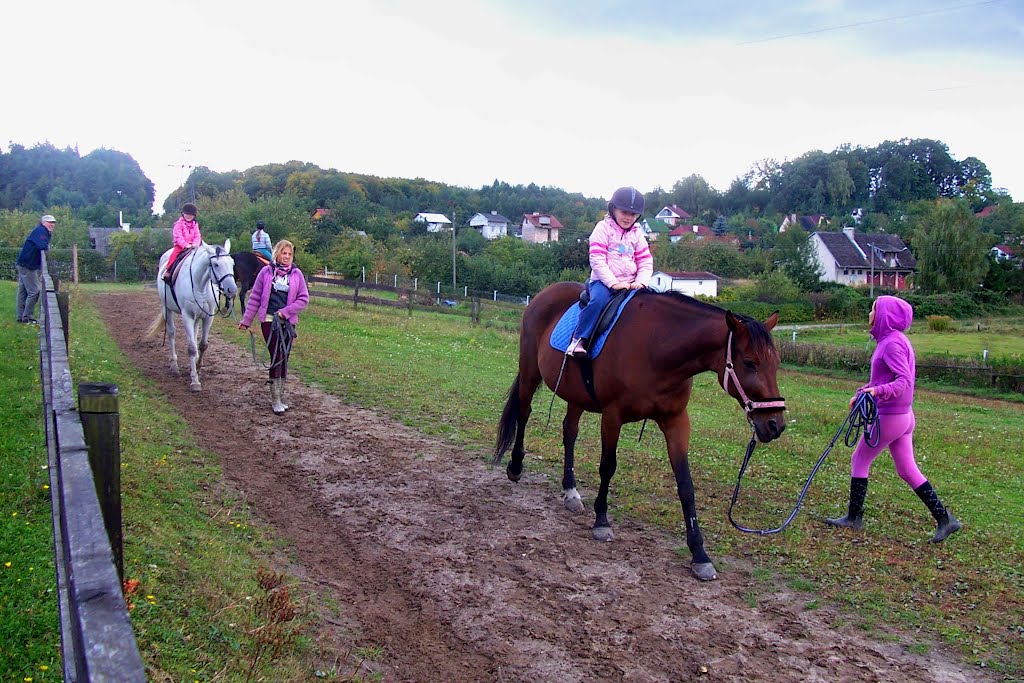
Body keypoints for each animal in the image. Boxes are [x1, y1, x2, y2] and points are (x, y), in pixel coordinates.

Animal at [146, 239, 237, 389]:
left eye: (232, 263)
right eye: (216, 265)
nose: (232, 290)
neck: (200, 284)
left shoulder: (207, 317)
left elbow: (202, 345)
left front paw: (197, 367)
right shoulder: (187, 316)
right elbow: (191, 348)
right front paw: (195, 381)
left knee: (194, 335)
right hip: (167, 309)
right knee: (171, 333)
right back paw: (174, 366)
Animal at [491, 280, 786, 581]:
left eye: (776, 363)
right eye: (749, 362)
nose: (775, 424)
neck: (657, 348)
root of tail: (545, 293)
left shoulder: (676, 421)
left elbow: (686, 485)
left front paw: (699, 554)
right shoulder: (612, 416)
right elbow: (607, 467)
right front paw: (602, 521)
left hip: (576, 395)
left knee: (569, 432)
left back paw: (570, 491)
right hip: (530, 372)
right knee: (524, 414)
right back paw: (515, 466)